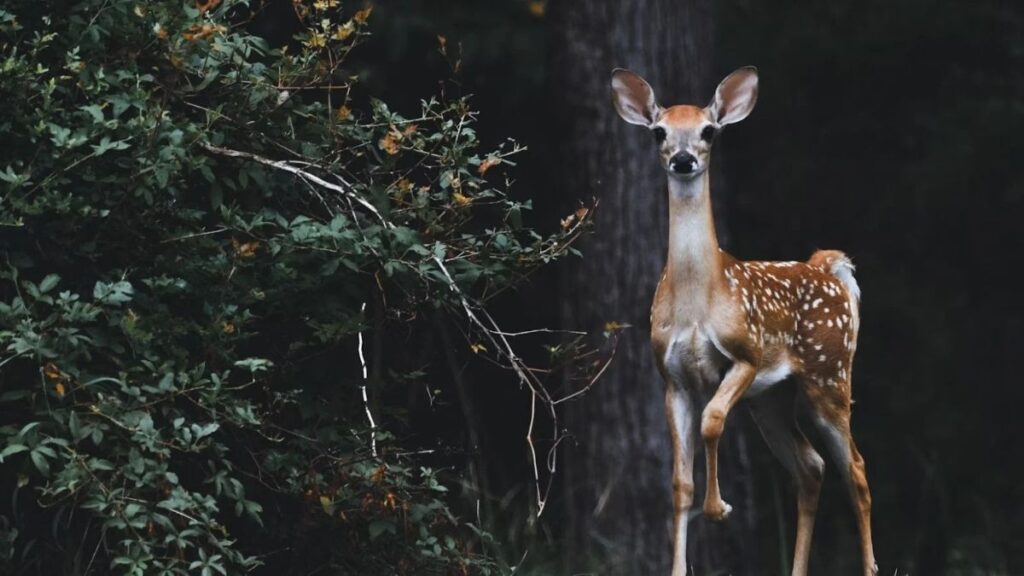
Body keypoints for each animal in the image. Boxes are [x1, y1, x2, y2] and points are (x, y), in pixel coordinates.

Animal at [610, 63, 876, 573]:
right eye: (659, 132)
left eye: (708, 131)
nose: (683, 160)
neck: (698, 301)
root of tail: (828, 268)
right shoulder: (672, 378)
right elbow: (679, 482)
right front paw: (680, 563)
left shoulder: (745, 355)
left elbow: (713, 420)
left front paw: (719, 509)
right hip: (771, 399)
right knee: (811, 466)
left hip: (829, 374)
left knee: (854, 466)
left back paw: (871, 566)